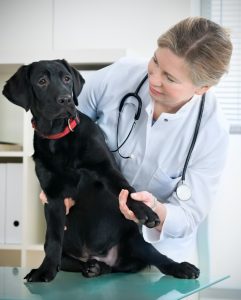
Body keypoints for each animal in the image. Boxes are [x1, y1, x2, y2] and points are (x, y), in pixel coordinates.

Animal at [2, 59, 200, 282]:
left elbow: (127, 190)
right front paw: (45, 270)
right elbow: (53, 239)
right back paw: (94, 267)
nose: (66, 99)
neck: (59, 136)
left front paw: (145, 210)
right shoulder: (53, 197)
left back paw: (180, 267)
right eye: (41, 81)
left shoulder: (106, 170)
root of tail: (100, 256)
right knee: (84, 263)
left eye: (67, 79)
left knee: (156, 257)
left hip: (135, 241)